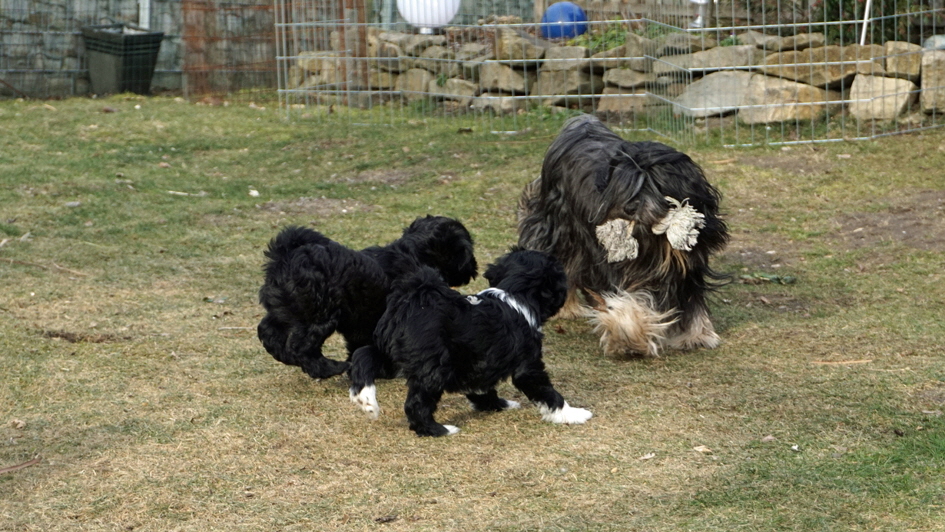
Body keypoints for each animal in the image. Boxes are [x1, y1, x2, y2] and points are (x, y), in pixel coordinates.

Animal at [256, 214, 476, 380]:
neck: (414, 253)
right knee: (301, 347)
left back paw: (287, 356)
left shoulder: (362, 324)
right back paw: (329, 368)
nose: (473, 265)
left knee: (268, 333)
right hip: (319, 315)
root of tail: (286, 255)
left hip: (284, 309)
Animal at [350, 248, 592, 436]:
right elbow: (548, 392)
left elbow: (482, 387)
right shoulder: (528, 364)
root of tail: (411, 301)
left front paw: (498, 404)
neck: (516, 293)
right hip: (433, 367)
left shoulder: (479, 362)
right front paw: (572, 414)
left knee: (362, 357)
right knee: (416, 404)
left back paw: (365, 399)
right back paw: (438, 430)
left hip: (390, 350)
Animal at [516, 116, 732, 358]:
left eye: (654, 183)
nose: (628, 208)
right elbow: (627, 300)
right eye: (624, 184)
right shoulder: (610, 263)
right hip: (558, 228)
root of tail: (579, 125)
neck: (655, 240)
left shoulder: (688, 265)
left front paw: (696, 335)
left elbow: (691, 297)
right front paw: (631, 335)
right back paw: (567, 308)